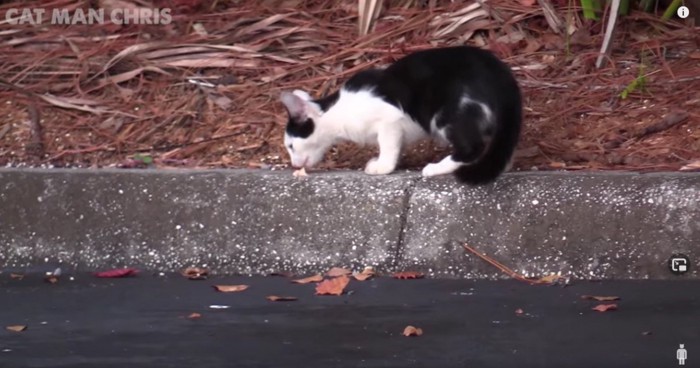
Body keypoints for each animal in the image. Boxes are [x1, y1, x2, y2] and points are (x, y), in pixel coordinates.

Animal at [278, 45, 520, 185]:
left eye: (290, 146)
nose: (293, 164)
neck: (337, 112)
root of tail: (497, 68)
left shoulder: (389, 118)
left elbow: (388, 146)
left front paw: (382, 166)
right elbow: (397, 145)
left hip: (445, 112)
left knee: (472, 147)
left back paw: (436, 168)